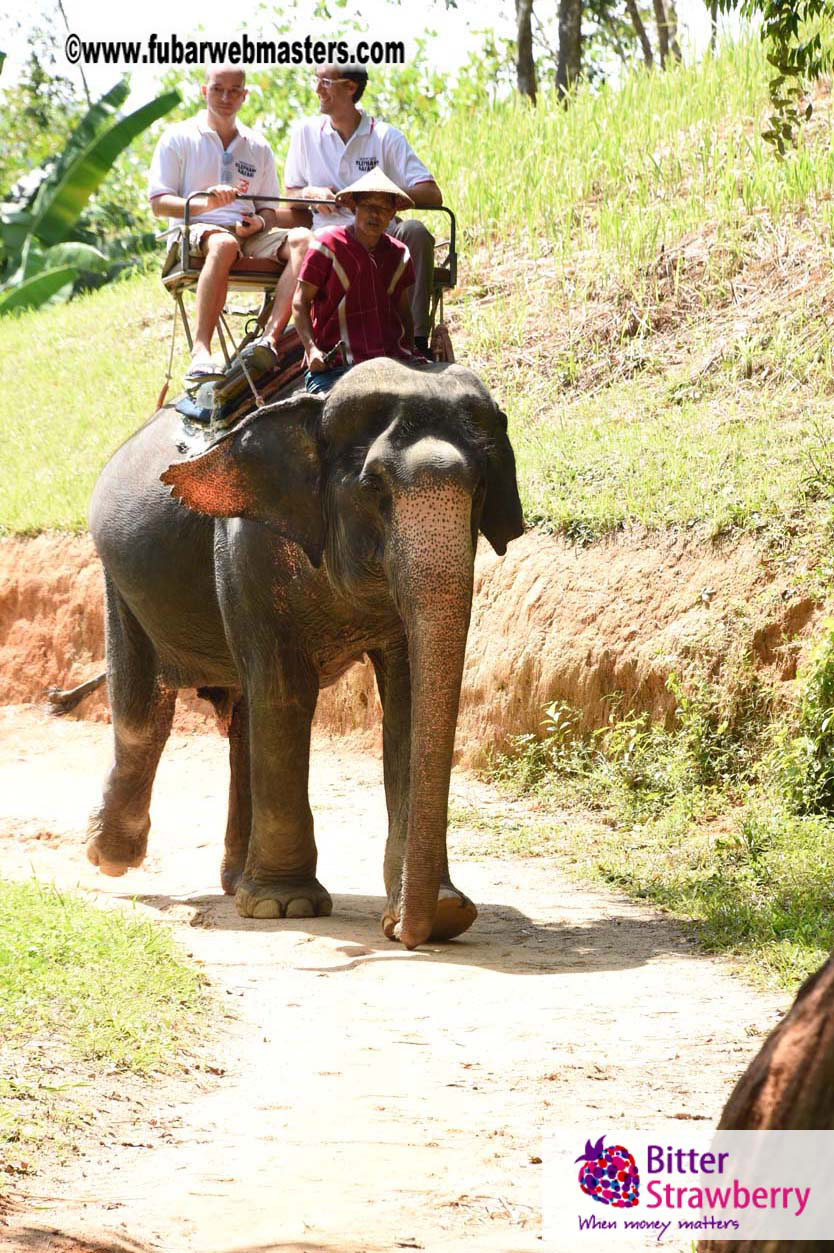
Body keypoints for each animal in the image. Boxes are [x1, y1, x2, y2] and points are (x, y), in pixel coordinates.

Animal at [85, 357, 524, 949]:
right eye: (374, 487)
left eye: (480, 487)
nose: (412, 938)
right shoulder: (246, 548)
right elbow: (286, 692)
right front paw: (286, 906)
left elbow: (409, 702)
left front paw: (444, 911)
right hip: (121, 580)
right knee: (143, 711)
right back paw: (110, 857)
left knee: (240, 720)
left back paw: (234, 880)